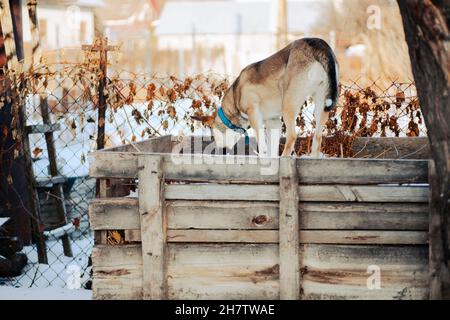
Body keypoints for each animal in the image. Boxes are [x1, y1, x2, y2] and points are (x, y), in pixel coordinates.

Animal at [192, 37, 338, 158]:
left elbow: (262, 145)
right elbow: (271, 148)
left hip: (288, 104)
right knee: (318, 137)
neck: (236, 94)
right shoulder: (273, 122)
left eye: (213, 135)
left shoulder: (254, 114)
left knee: (292, 136)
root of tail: (318, 44)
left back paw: (284, 158)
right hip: (321, 103)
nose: (220, 152)